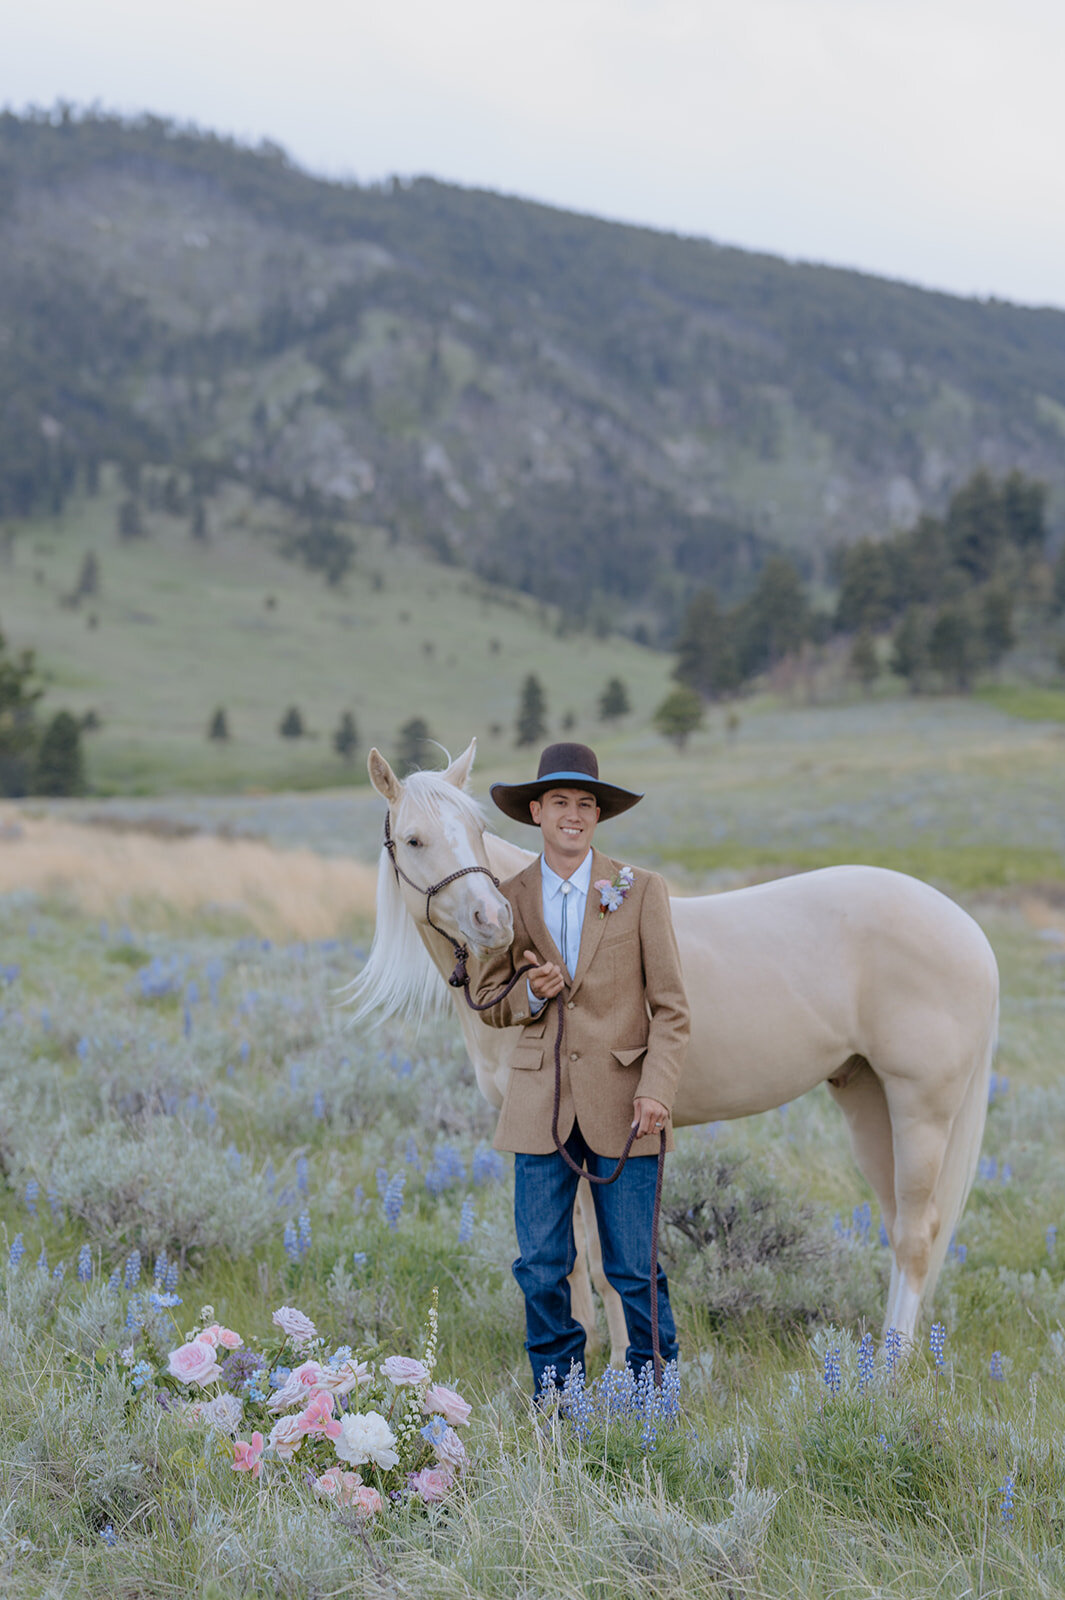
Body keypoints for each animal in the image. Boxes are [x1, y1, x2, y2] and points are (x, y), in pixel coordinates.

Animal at [350, 742, 997, 1356]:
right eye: (414, 839)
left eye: (478, 829)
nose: (494, 920)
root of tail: (969, 931)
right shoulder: (551, 1138)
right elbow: (574, 1262)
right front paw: (576, 1369)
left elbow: (606, 1268)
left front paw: (616, 1369)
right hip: (867, 1101)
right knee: (897, 1220)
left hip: (921, 1109)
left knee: (916, 1235)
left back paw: (890, 1367)